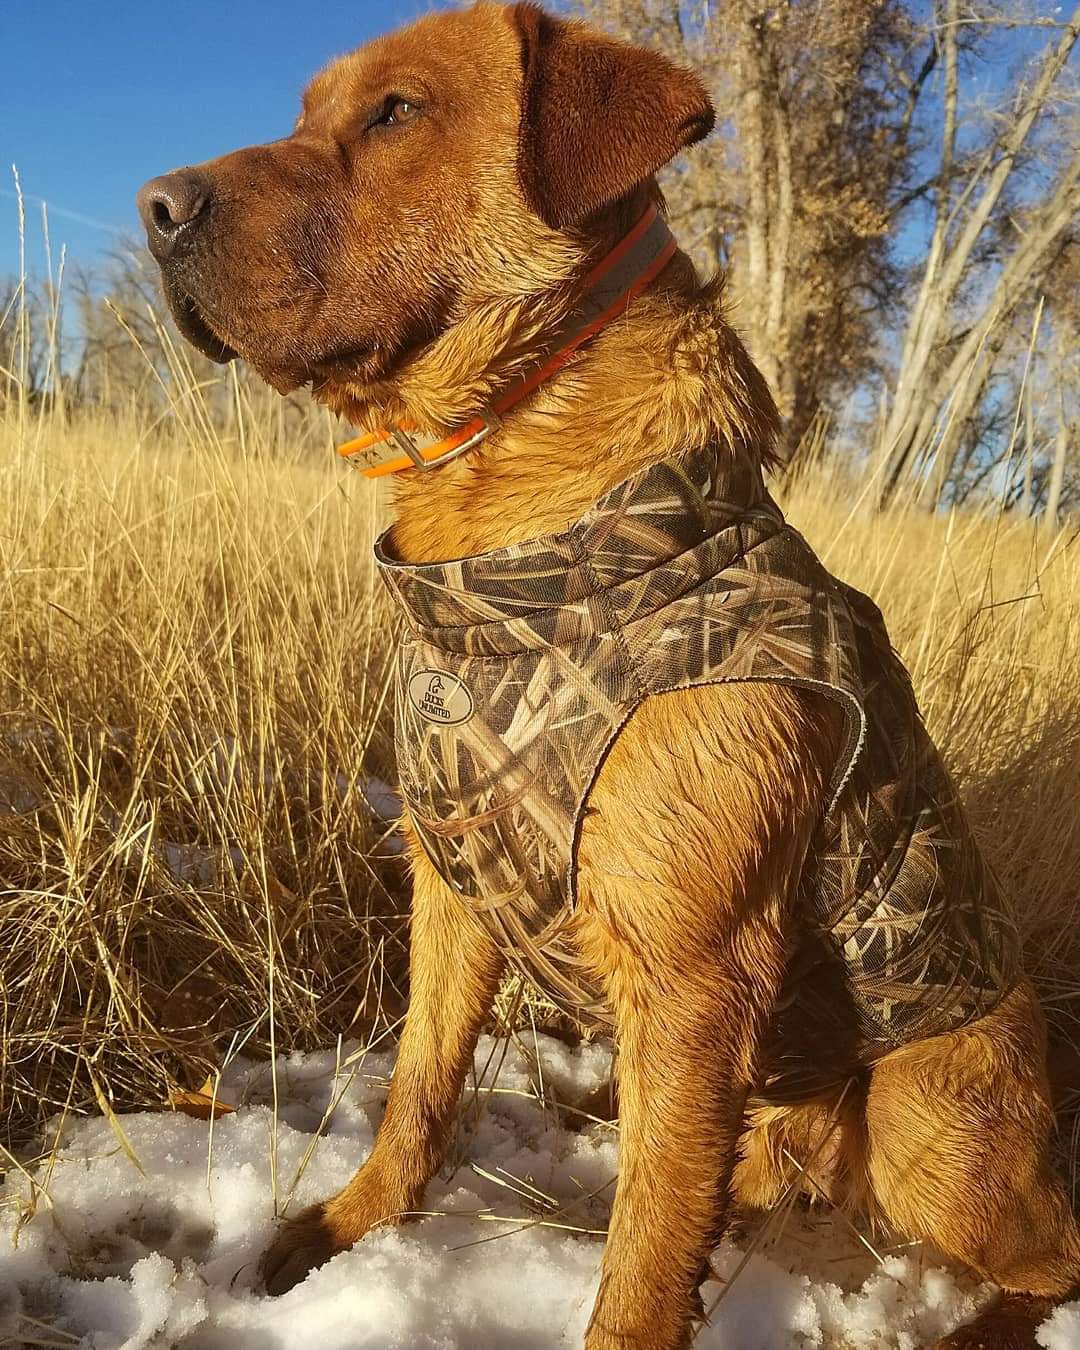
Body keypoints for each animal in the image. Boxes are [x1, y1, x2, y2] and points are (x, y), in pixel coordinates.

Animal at [137, 5, 1080, 1344]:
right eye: (311, 111)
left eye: (396, 112)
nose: (155, 208)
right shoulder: (452, 883)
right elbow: (420, 1089)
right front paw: (351, 1225)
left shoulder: (694, 980)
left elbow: (640, 1273)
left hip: (925, 1119)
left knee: (1051, 1251)